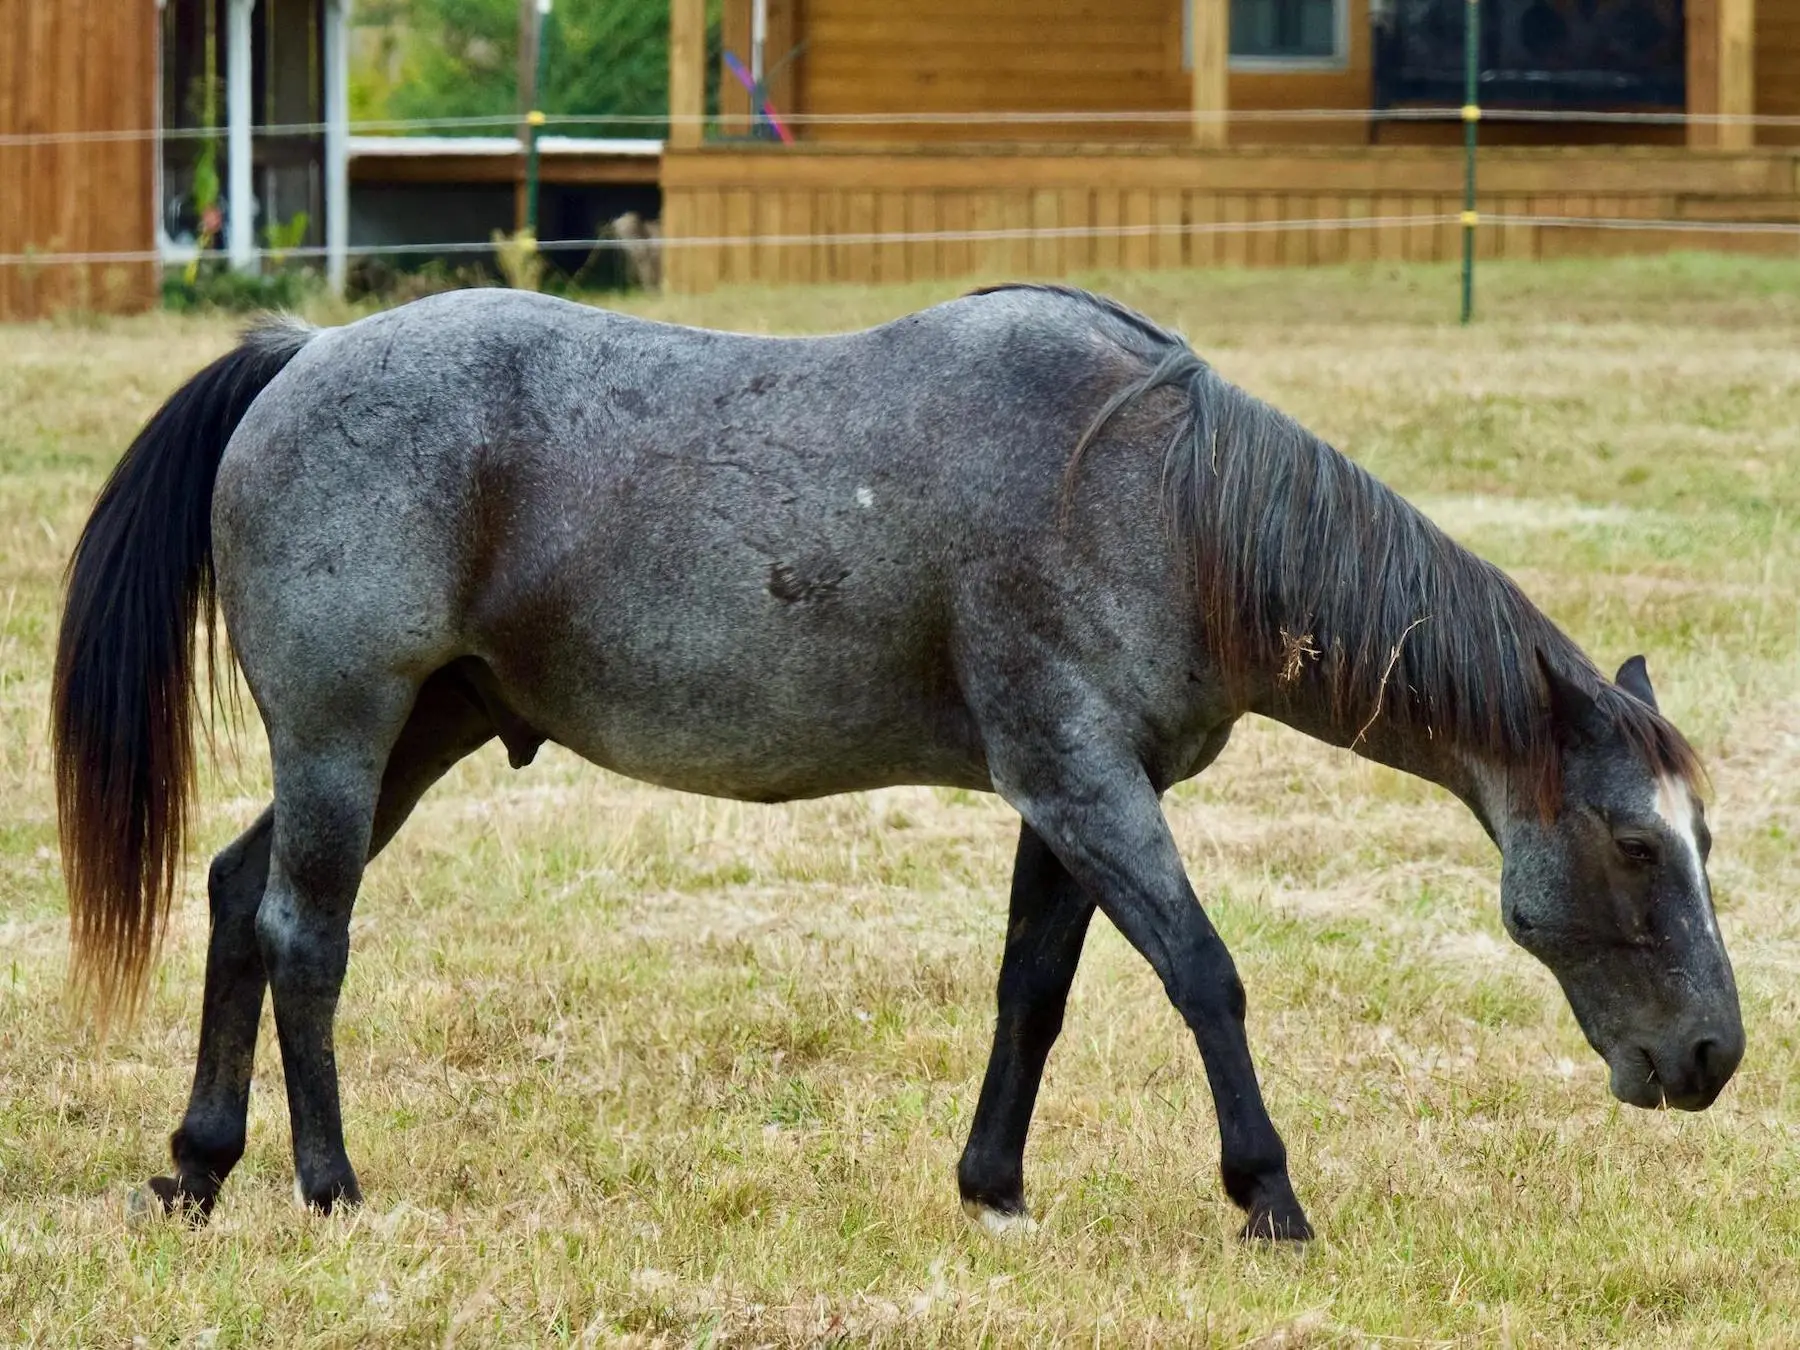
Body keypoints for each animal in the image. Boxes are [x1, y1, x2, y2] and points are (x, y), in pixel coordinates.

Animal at [52, 286, 1742, 1245]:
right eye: (1637, 846)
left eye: (1702, 841)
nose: (1715, 1056)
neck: (1162, 497)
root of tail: (301, 354)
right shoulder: (1086, 785)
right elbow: (1205, 974)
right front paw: (1267, 1193)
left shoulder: (1069, 800)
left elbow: (1033, 993)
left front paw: (994, 1188)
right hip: (350, 735)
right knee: (305, 935)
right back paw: (328, 1185)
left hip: (415, 734)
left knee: (237, 895)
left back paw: (201, 1167)